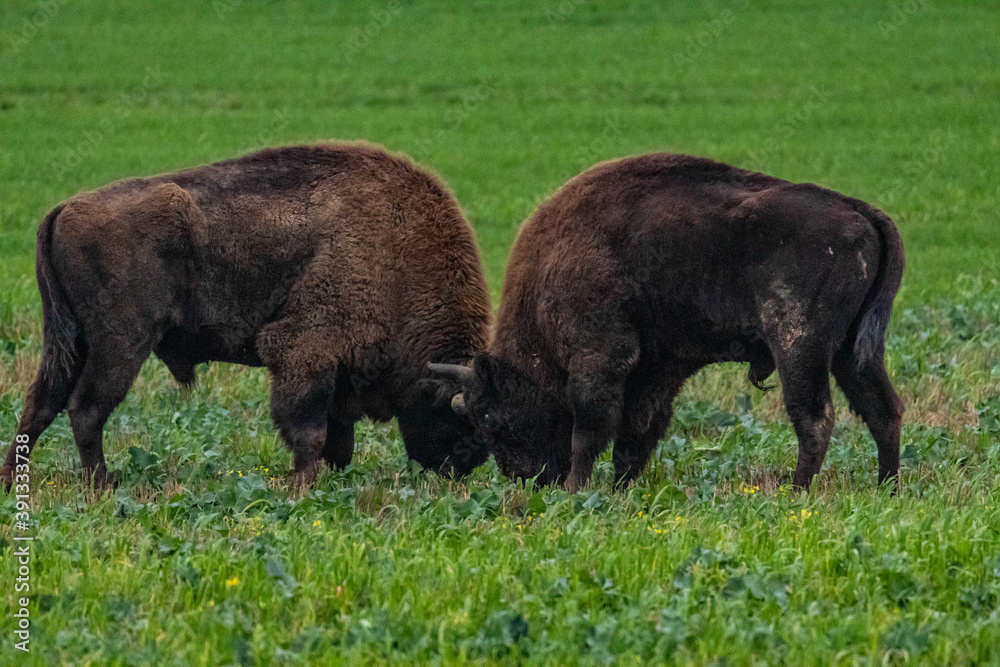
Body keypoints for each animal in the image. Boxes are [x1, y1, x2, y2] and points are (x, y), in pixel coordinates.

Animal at [2, 143, 491, 490]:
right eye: (463, 420)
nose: (462, 469)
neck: (400, 254)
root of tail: (64, 208)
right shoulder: (304, 354)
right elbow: (310, 432)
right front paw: (301, 487)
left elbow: (338, 442)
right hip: (120, 342)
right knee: (86, 408)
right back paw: (102, 486)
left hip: (69, 340)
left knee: (41, 403)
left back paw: (12, 483)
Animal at [431, 153, 904, 492]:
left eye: (492, 418)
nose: (526, 478)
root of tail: (859, 211)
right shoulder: (656, 370)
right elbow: (635, 435)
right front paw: (618, 490)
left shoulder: (599, 357)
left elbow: (590, 428)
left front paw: (575, 489)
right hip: (852, 352)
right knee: (883, 409)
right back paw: (887, 488)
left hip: (799, 345)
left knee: (815, 417)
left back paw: (796, 491)